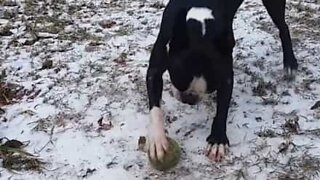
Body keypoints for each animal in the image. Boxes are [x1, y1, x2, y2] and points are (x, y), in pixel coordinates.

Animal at [145, 0, 298, 162]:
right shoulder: (155, 67)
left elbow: (222, 109)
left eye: (211, 87)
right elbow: (155, 109)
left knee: (283, 26)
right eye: (177, 79)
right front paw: (157, 140)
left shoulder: (225, 75)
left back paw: (290, 63)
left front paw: (217, 141)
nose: (190, 99)